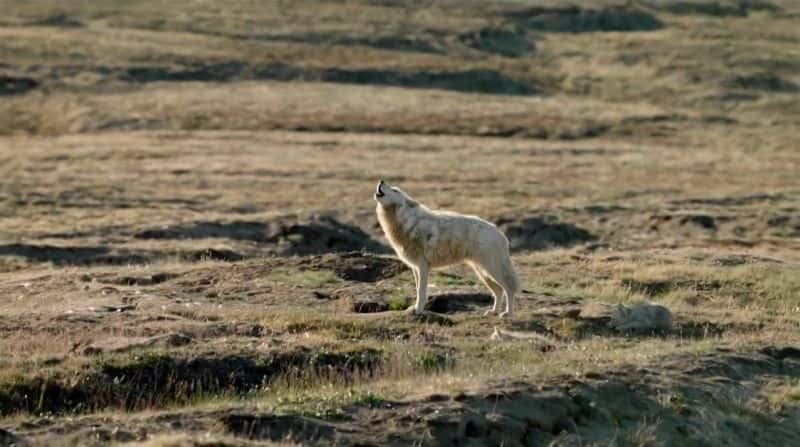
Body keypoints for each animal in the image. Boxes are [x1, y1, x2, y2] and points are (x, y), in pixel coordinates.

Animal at [374, 181, 520, 318]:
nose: (381, 181)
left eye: (395, 190)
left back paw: (508, 313)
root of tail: (500, 233)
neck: (406, 222)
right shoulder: (415, 267)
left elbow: (421, 291)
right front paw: (414, 308)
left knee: (509, 289)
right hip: (483, 272)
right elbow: (417, 290)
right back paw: (493, 312)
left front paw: (418, 310)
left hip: (492, 270)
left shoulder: (423, 266)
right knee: (498, 291)